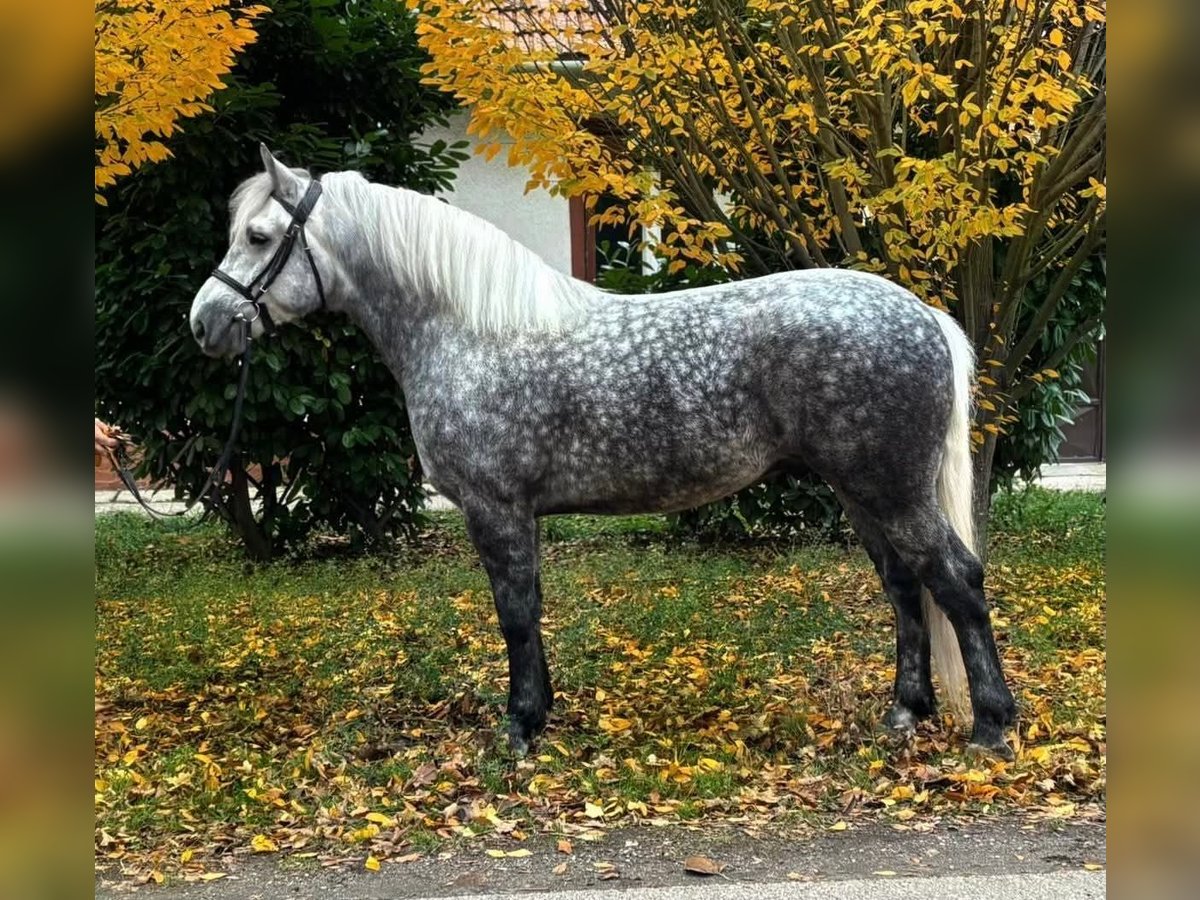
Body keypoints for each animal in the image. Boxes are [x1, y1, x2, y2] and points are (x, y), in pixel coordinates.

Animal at [189, 146, 1016, 758]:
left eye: (257, 237)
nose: (205, 323)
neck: (469, 329)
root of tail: (922, 315)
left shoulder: (496, 509)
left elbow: (515, 615)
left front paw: (520, 728)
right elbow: (526, 612)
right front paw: (539, 714)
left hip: (891, 489)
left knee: (956, 581)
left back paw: (990, 727)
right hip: (861, 491)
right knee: (906, 588)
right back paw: (905, 713)